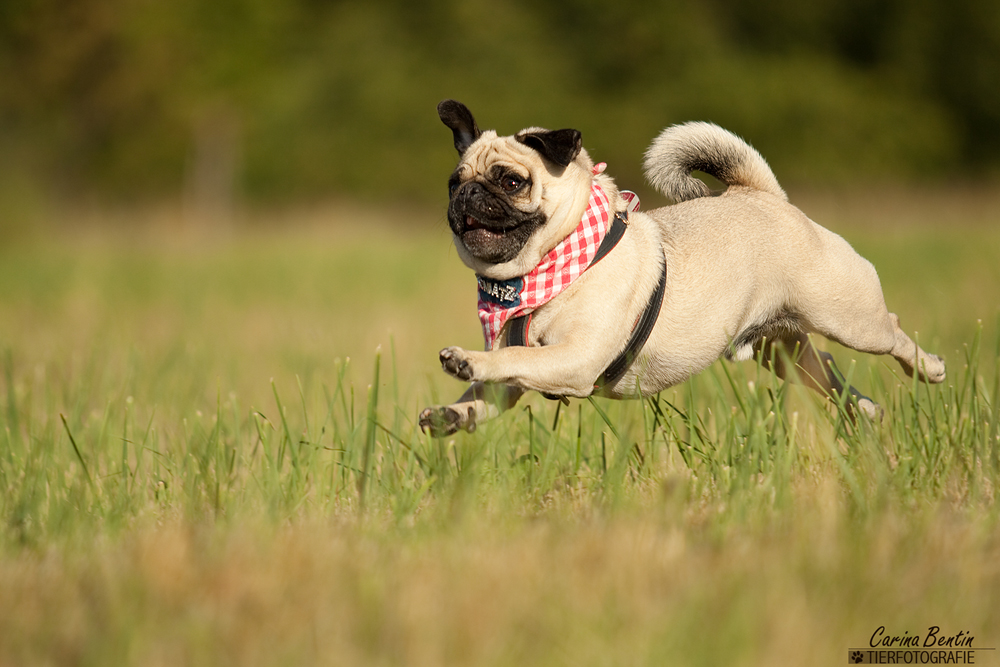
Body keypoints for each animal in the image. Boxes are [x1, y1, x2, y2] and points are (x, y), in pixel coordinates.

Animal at [418, 96, 948, 436]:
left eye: (511, 181)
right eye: (453, 182)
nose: (467, 194)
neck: (538, 270)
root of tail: (762, 195)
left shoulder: (575, 358)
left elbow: (513, 360)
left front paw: (467, 359)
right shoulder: (521, 381)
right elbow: (488, 394)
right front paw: (451, 415)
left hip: (848, 318)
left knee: (891, 330)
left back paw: (929, 369)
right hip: (780, 352)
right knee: (827, 368)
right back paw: (863, 410)